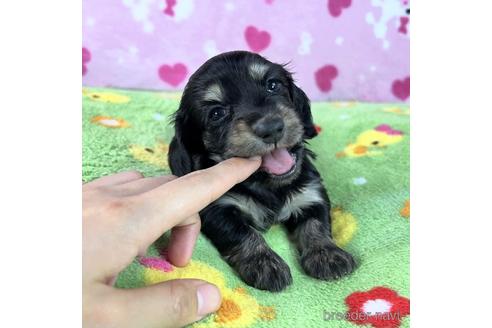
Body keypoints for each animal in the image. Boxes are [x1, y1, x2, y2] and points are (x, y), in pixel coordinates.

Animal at [168, 51, 354, 292]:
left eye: (272, 85)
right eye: (217, 113)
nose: (271, 128)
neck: (266, 184)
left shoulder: (311, 193)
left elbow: (316, 224)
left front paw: (328, 255)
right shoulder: (218, 209)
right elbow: (242, 233)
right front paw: (264, 264)